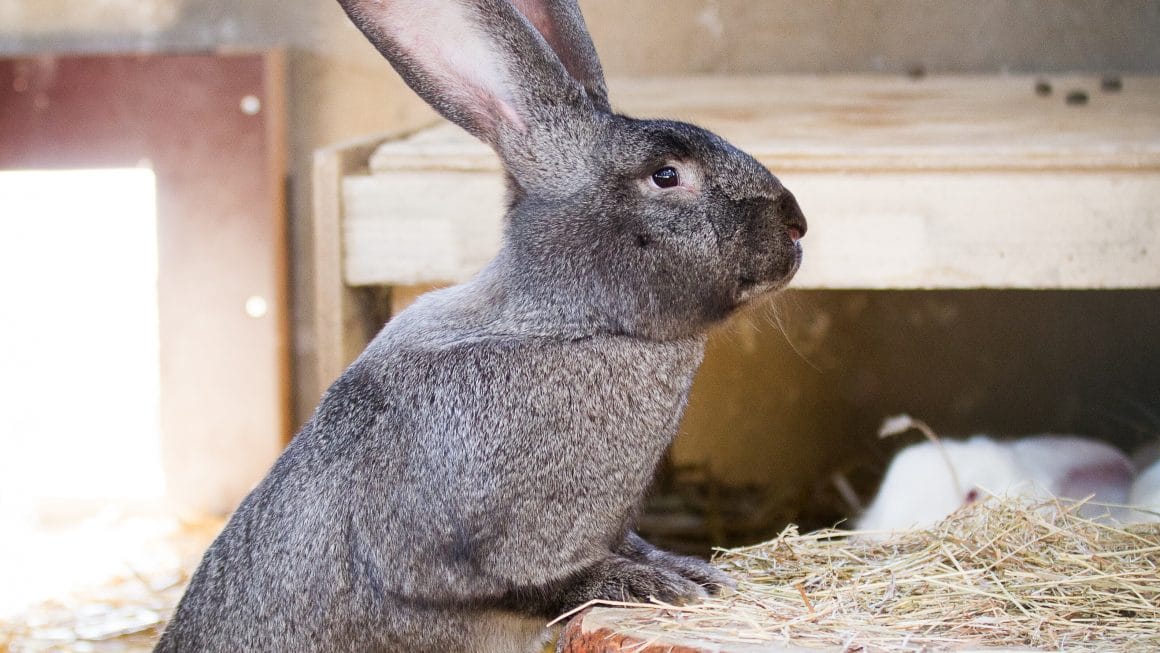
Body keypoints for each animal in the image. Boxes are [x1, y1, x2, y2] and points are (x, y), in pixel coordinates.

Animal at [154, 0, 802, 649]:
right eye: (666, 175)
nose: (796, 224)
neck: (574, 322)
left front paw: (691, 570)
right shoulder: (452, 552)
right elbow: (544, 583)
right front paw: (654, 586)